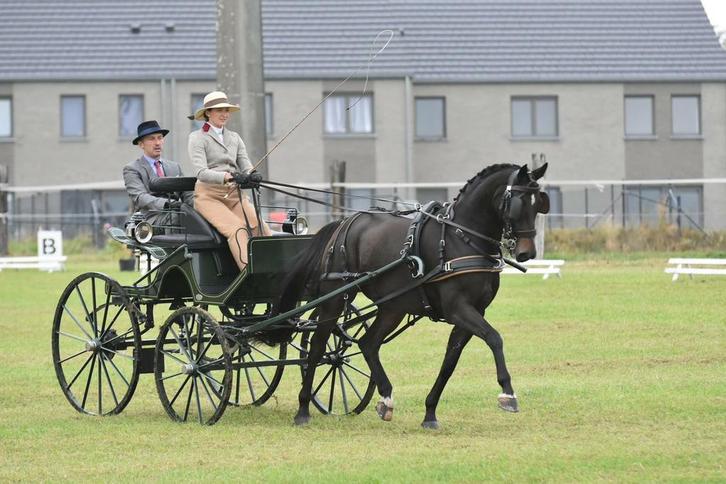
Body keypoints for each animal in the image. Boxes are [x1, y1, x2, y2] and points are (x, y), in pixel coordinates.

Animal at [278, 162, 549, 428]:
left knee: (368, 343)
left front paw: (430, 412)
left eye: (538, 203)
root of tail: (344, 222)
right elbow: (494, 338)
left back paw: (386, 398)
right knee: (317, 347)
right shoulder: (458, 309)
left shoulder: (472, 312)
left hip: (393, 307)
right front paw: (508, 393)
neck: (462, 237)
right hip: (335, 297)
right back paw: (303, 409)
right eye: (518, 203)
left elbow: (450, 361)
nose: (527, 253)